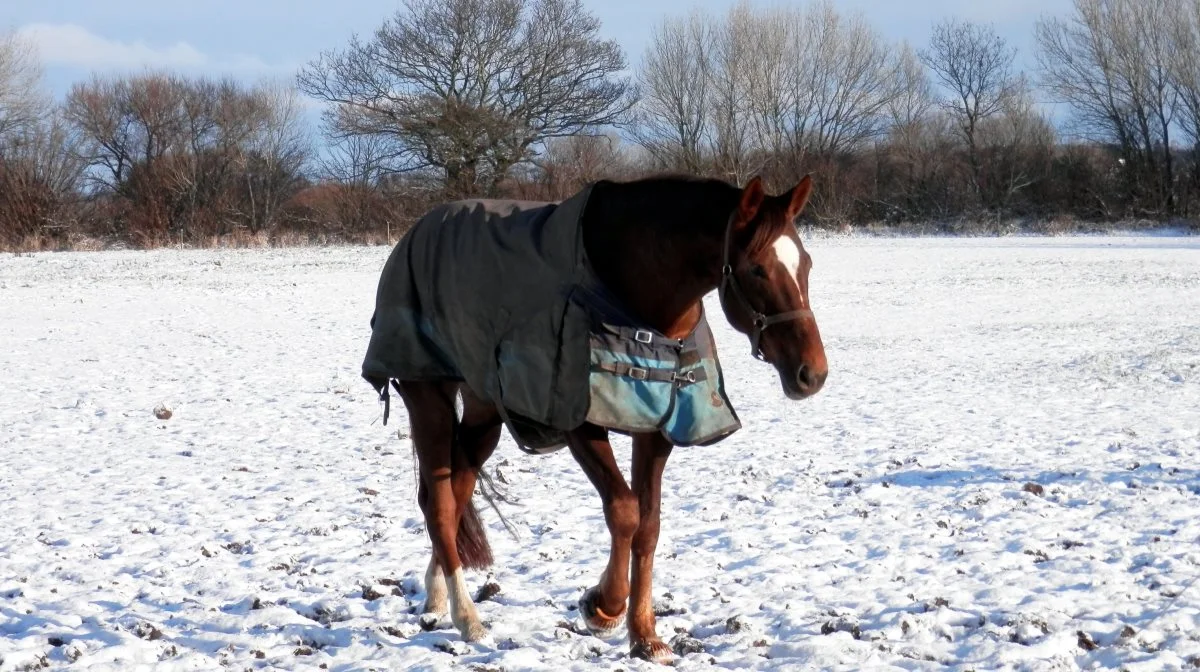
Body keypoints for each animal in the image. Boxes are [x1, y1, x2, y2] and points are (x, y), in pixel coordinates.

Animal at [362, 171, 825, 662]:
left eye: (806, 265)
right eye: (757, 269)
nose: (812, 373)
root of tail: (415, 233)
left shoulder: (655, 430)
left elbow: (648, 526)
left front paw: (645, 635)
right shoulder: (578, 423)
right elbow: (624, 512)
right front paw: (603, 607)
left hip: (484, 413)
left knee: (455, 493)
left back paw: (436, 598)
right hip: (428, 398)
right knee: (440, 505)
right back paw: (467, 617)